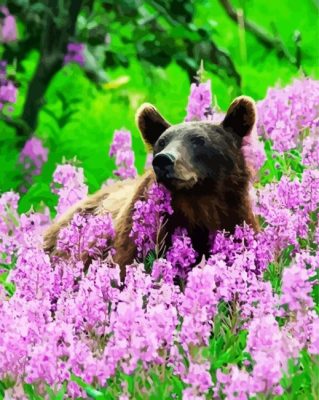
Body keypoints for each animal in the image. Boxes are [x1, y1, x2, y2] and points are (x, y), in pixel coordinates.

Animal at [43, 96, 260, 278]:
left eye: (199, 140)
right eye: (162, 142)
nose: (163, 160)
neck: (198, 203)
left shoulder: (234, 217)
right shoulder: (142, 233)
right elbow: (126, 265)